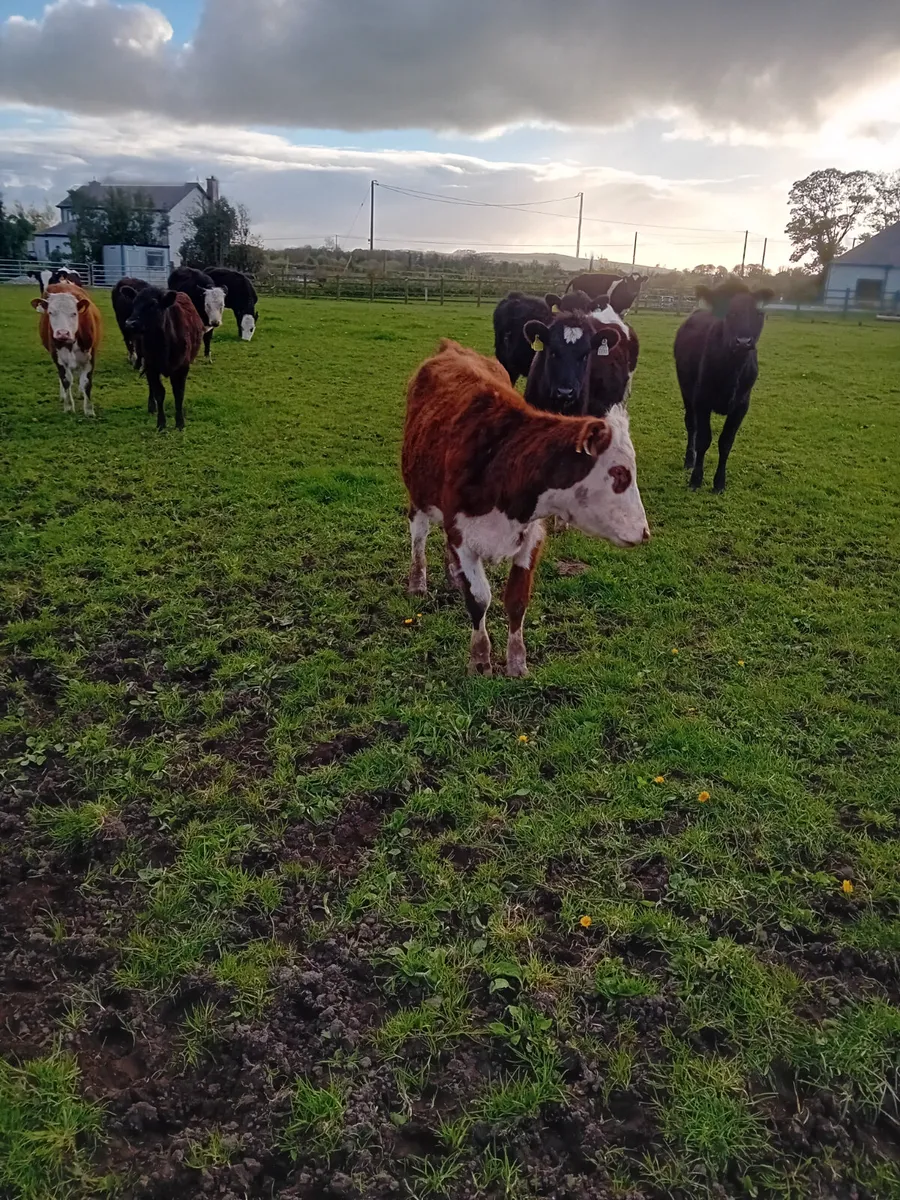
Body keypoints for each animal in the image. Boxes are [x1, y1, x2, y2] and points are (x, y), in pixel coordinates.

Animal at [676, 278, 777, 489]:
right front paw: (696, 479)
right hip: (686, 390)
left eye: (758, 313)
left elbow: (726, 442)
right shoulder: (701, 400)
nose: (744, 341)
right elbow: (704, 439)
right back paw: (689, 460)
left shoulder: (742, 405)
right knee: (691, 424)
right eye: (728, 313)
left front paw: (719, 483)